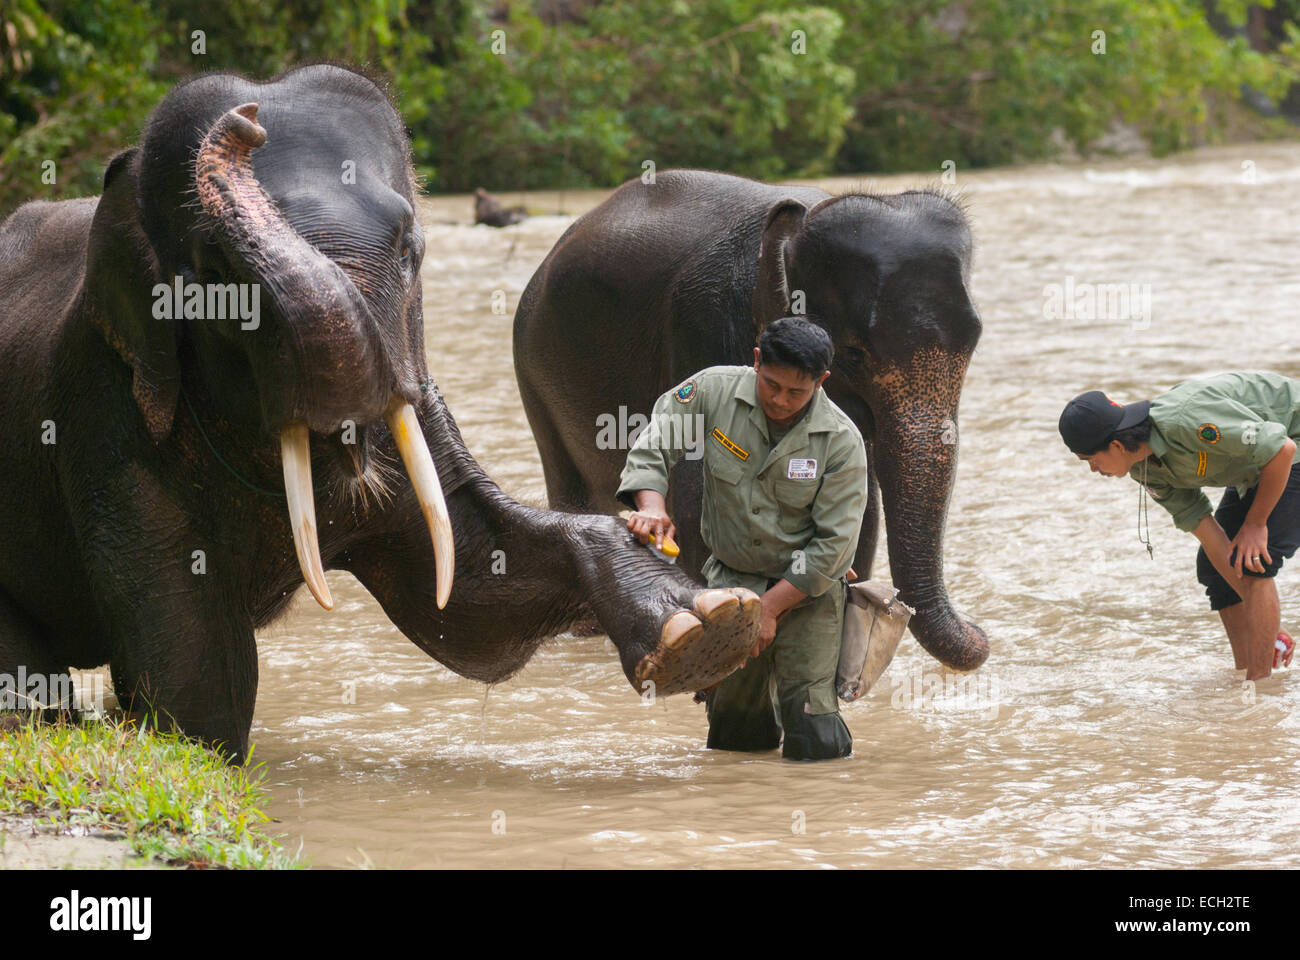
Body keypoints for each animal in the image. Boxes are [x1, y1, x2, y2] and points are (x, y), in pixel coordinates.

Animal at [0, 63, 759, 759]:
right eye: (212, 278)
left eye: (408, 249)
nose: (246, 117)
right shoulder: (107, 414)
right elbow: (196, 674)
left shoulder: (415, 393)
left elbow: (471, 598)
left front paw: (706, 627)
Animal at [512, 167, 987, 671]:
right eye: (854, 353)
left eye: (974, 340)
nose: (980, 633)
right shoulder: (704, 325)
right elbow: (696, 495)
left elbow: (858, 507)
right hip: (534, 376)